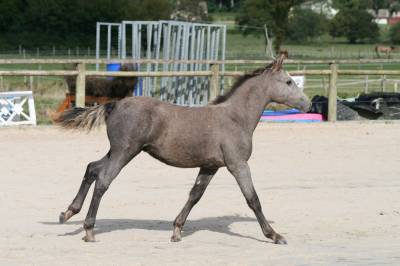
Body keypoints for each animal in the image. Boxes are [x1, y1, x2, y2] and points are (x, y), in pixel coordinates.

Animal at [54, 53, 310, 245]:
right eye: (288, 82)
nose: (307, 104)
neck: (235, 117)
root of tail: (114, 104)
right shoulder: (237, 164)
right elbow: (253, 199)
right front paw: (274, 235)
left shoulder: (210, 166)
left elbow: (195, 195)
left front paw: (177, 230)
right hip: (125, 152)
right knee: (103, 180)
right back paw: (89, 230)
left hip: (117, 151)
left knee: (92, 168)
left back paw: (68, 212)